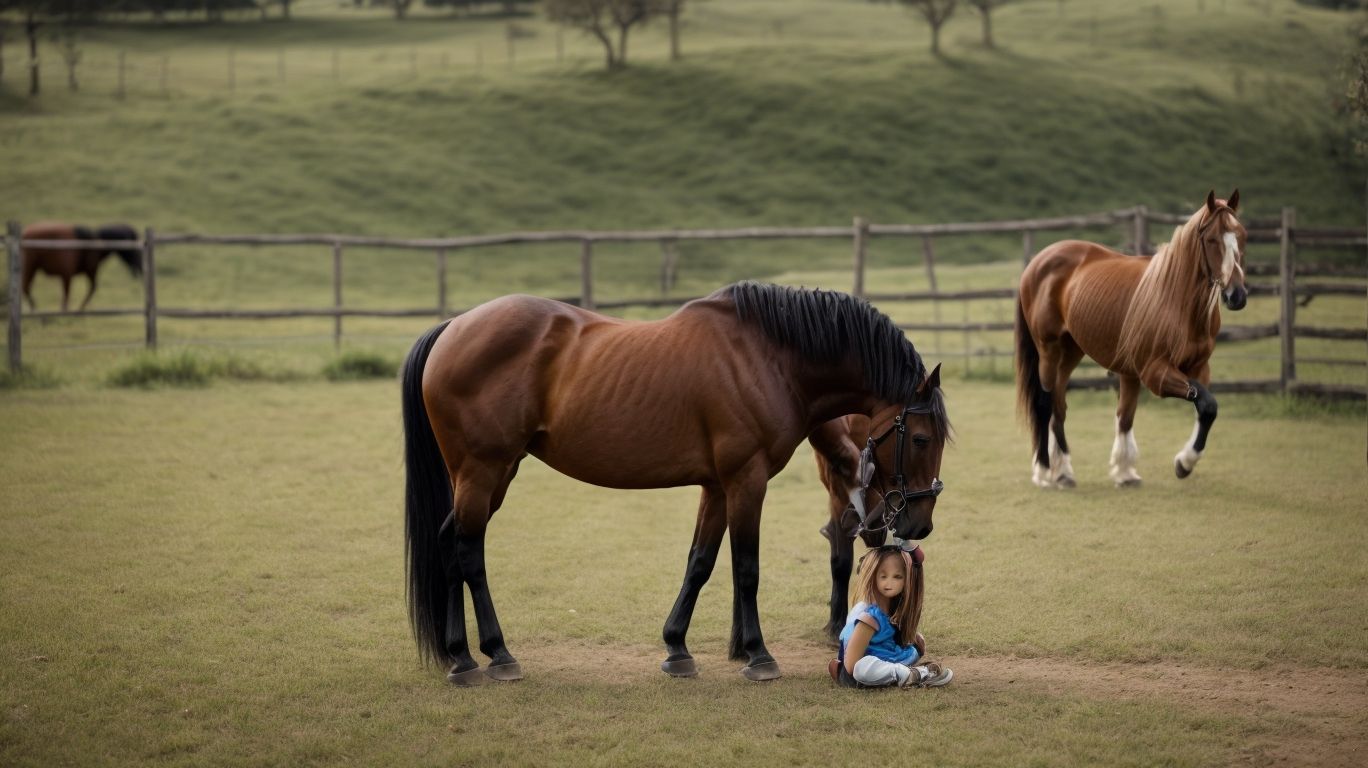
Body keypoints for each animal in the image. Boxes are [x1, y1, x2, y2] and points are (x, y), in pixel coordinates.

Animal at [401, 281, 950, 684]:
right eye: (922, 438)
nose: (920, 524)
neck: (767, 358)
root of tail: (453, 327)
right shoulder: (746, 481)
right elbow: (746, 568)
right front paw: (758, 655)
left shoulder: (718, 486)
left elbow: (700, 563)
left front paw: (677, 648)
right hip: (484, 470)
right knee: (469, 552)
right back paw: (497, 654)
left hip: (489, 474)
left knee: (449, 543)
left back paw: (460, 657)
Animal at [1015, 190, 1248, 489]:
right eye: (1212, 240)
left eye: (1240, 236)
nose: (1236, 295)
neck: (1176, 301)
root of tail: (1038, 261)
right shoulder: (1154, 372)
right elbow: (1205, 403)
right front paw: (1183, 463)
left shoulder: (1197, 368)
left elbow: (1197, 410)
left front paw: (1130, 471)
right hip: (1048, 349)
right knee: (1044, 405)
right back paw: (1044, 470)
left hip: (1071, 352)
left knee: (1059, 405)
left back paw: (1063, 471)